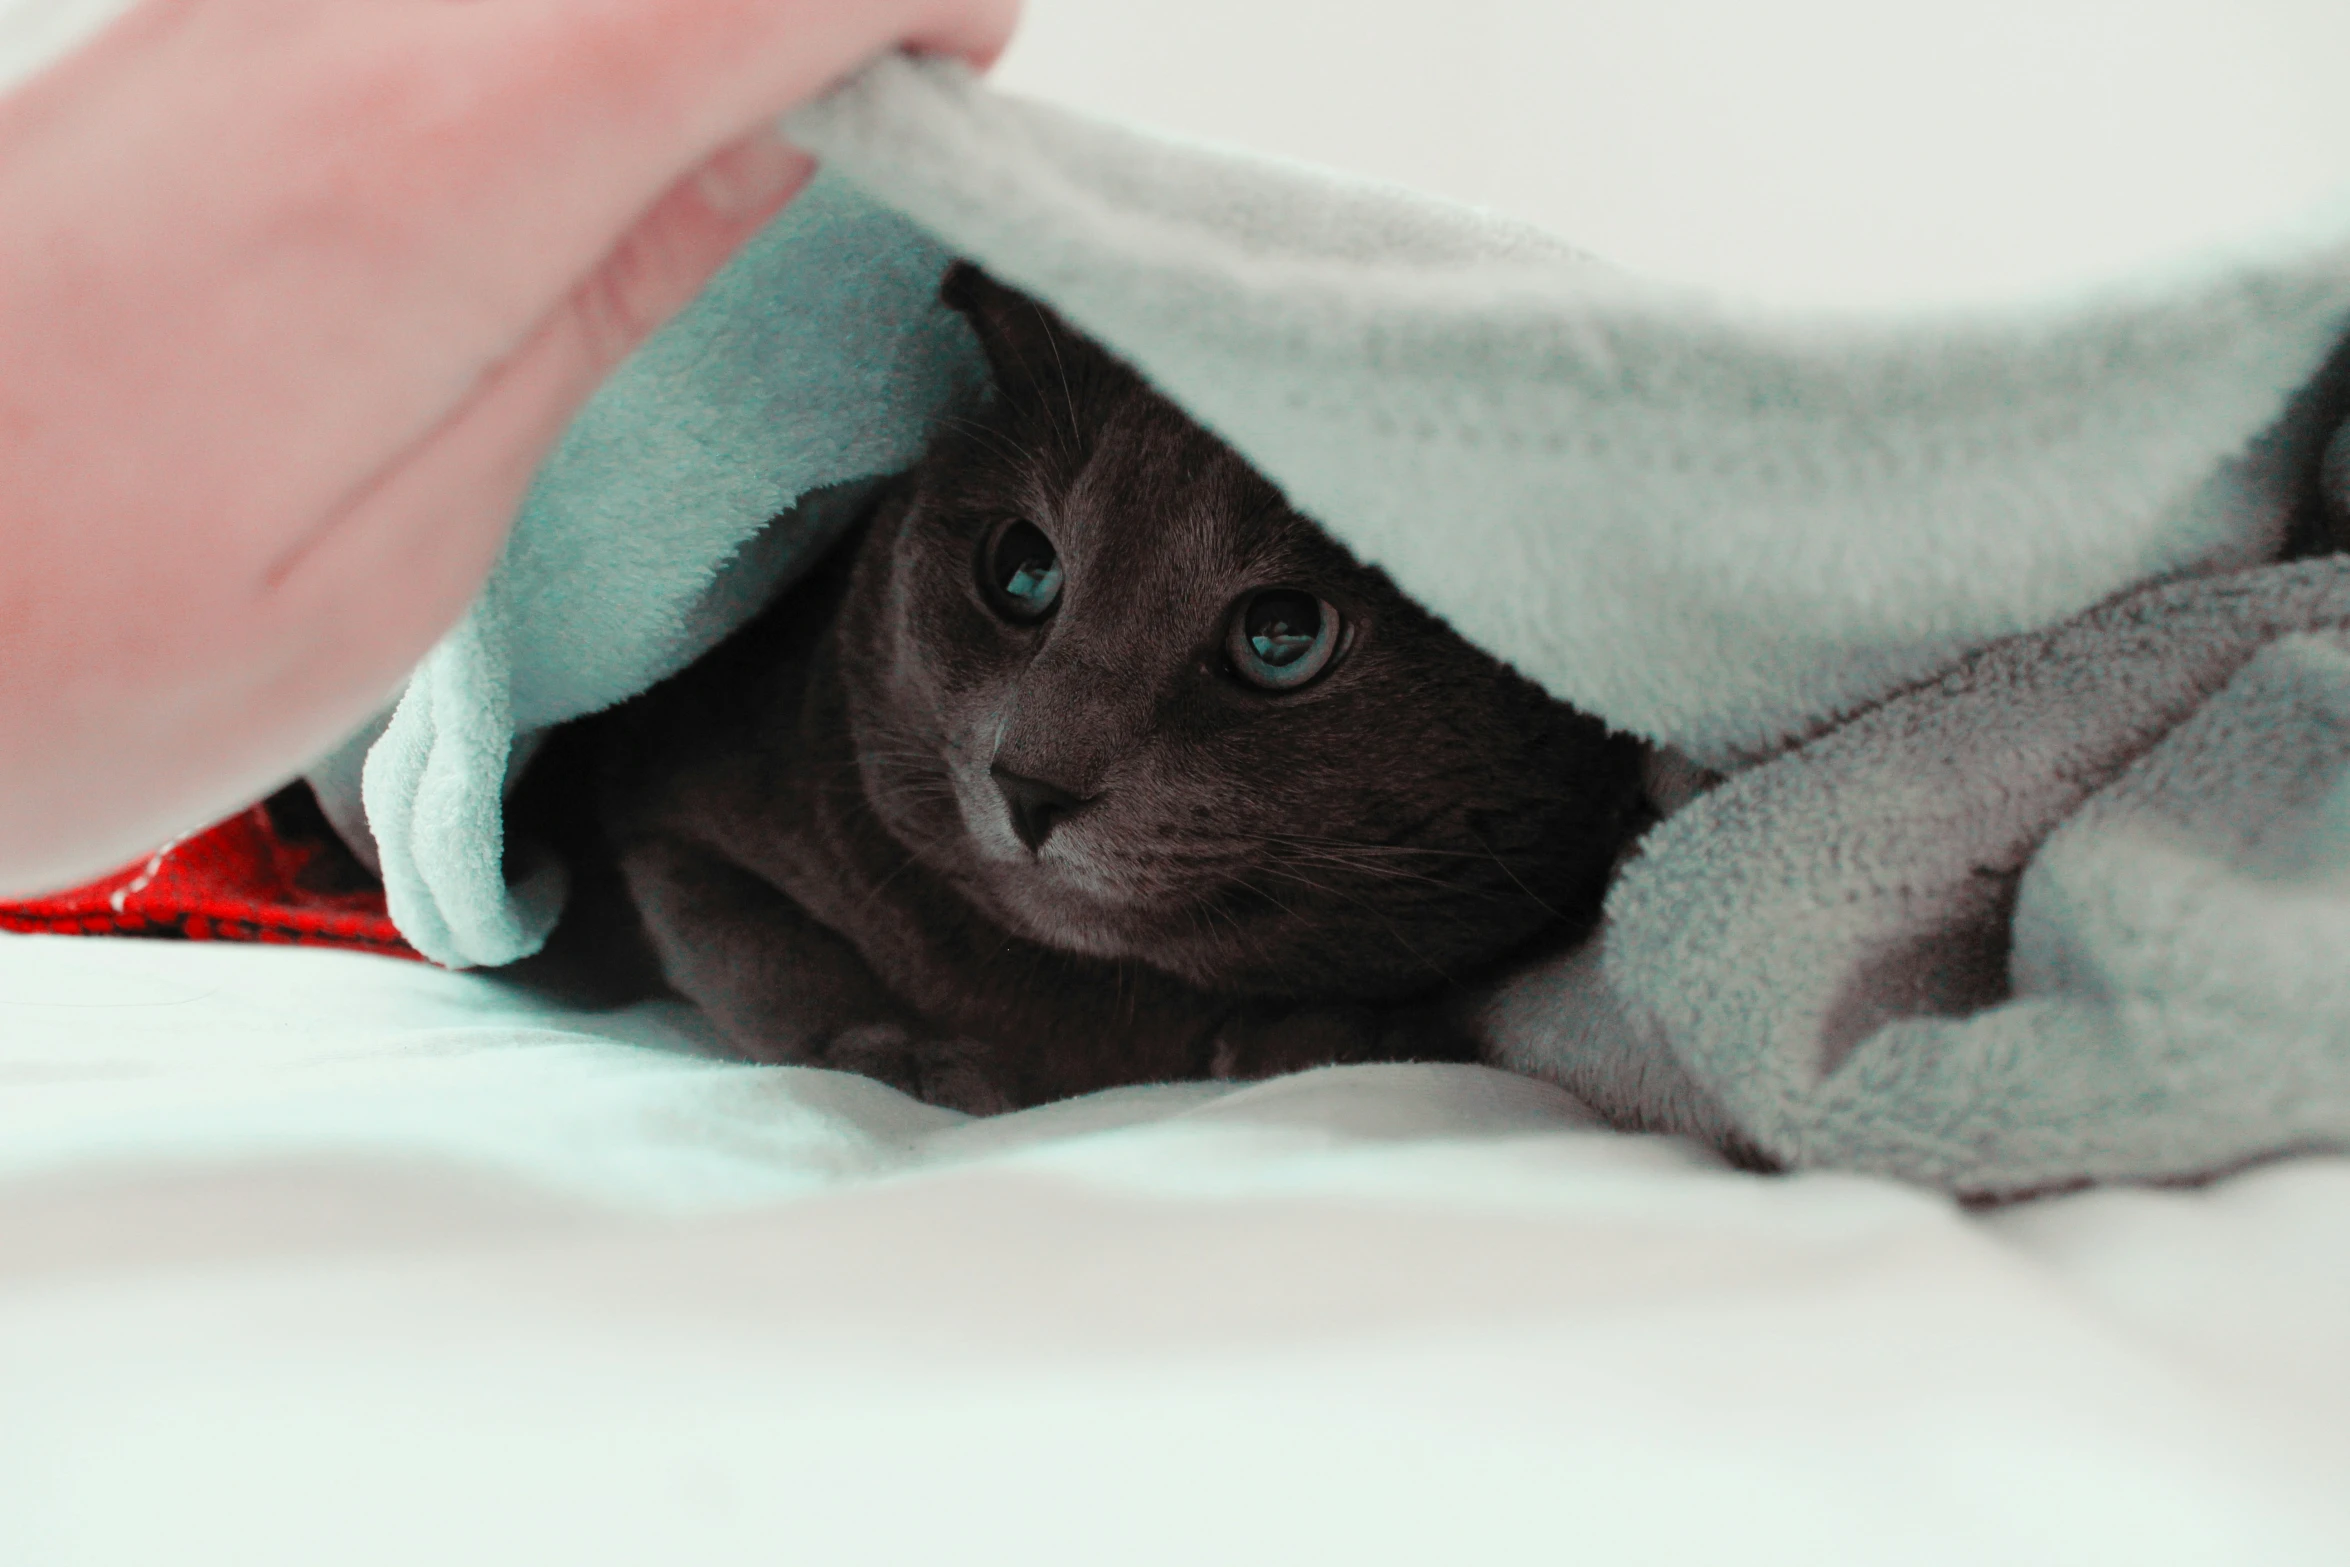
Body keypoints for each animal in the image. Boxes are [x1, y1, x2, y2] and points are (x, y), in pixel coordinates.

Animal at [578, 263, 1644, 1108]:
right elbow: (767, 952)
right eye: (1020, 570)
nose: (1030, 783)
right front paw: (916, 1055)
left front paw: (1344, 1036)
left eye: (1284, 635)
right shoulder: (676, 813)